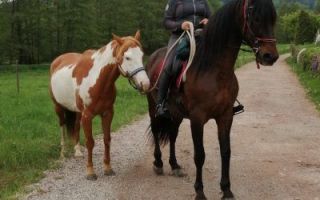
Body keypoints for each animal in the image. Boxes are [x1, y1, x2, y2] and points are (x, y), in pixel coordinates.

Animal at [49, 31, 150, 180]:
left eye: (142, 55)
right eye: (127, 57)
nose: (145, 84)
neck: (97, 79)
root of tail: (58, 60)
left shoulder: (107, 113)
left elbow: (107, 139)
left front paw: (108, 168)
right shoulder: (87, 115)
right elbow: (90, 142)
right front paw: (90, 171)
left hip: (78, 111)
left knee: (76, 126)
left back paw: (77, 151)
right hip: (59, 107)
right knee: (62, 125)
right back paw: (62, 153)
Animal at [145, 0, 278, 199]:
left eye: (273, 19)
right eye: (255, 19)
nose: (271, 57)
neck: (213, 69)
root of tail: (153, 57)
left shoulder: (225, 116)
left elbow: (226, 151)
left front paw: (226, 189)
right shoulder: (197, 118)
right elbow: (200, 155)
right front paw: (200, 191)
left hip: (176, 114)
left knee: (173, 135)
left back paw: (174, 165)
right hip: (153, 106)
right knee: (155, 130)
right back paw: (159, 163)